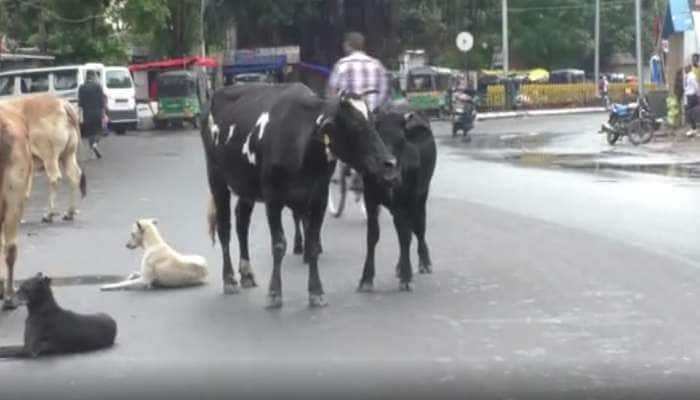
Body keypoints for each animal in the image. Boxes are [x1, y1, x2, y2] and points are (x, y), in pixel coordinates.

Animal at [0, 95, 86, 223]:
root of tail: (61, 103)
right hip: (68, 155)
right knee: (74, 176)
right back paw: (69, 213)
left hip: (49, 155)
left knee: (55, 178)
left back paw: (48, 215)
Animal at [202, 83, 400, 308]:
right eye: (355, 125)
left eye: (374, 123)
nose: (390, 164)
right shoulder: (272, 198)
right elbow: (279, 244)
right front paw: (274, 293)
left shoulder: (319, 197)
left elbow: (313, 244)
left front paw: (316, 292)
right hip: (216, 177)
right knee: (224, 227)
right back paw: (229, 280)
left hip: (246, 187)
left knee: (242, 223)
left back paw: (247, 274)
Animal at [358, 103, 434, 290]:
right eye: (377, 140)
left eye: (402, 141)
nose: (390, 176)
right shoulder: (369, 198)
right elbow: (372, 236)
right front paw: (366, 278)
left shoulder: (410, 198)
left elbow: (407, 235)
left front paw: (406, 277)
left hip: (422, 194)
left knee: (419, 227)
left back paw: (424, 262)